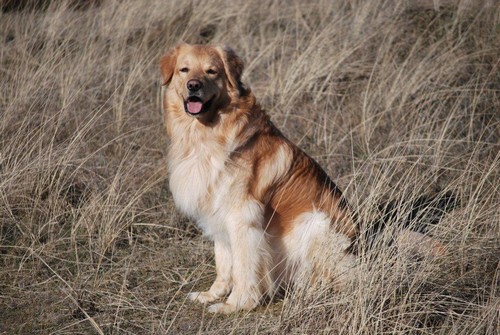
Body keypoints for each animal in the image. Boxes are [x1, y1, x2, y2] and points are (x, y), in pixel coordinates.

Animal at [160, 43, 450, 314]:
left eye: (212, 71)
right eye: (184, 70)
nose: (193, 86)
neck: (205, 134)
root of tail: (363, 245)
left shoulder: (243, 215)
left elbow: (243, 266)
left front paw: (236, 304)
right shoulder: (217, 212)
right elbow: (223, 263)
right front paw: (212, 294)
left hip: (313, 223)